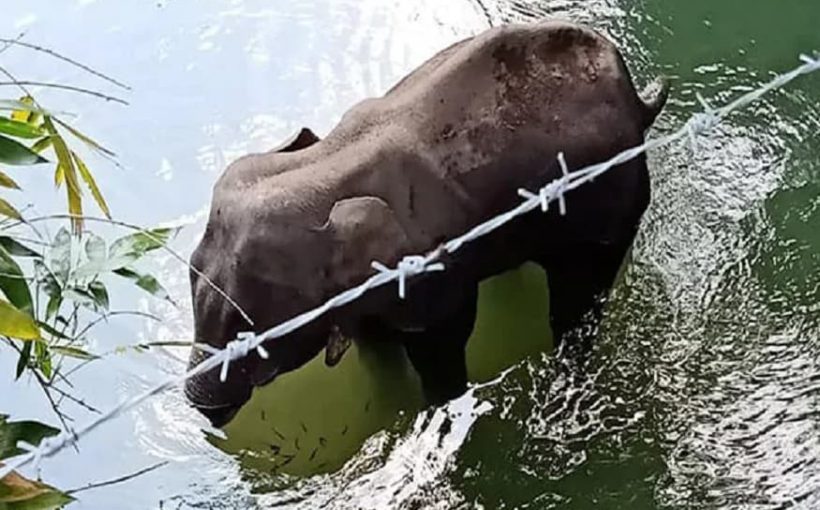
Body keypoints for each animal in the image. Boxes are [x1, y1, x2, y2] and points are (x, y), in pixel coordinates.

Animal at [185, 20, 670, 427]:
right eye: (191, 271)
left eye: (251, 329)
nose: (204, 410)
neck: (326, 164)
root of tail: (637, 100)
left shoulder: (431, 273)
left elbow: (443, 340)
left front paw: (435, 408)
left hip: (613, 199)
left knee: (578, 295)